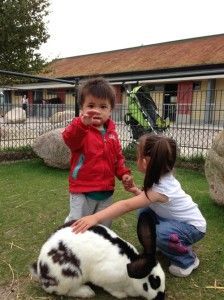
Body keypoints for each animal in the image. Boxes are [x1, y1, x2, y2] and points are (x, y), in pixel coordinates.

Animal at [30, 210, 165, 298]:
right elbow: (114, 290)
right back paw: (87, 292)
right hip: (69, 276)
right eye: (154, 282)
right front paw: (121, 294)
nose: (161, 297)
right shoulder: (106, 278)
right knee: (65, 291)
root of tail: (40, 269)